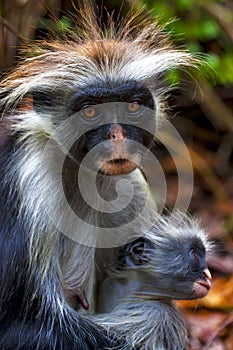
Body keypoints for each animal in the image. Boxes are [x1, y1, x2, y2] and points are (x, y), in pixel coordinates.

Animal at [0, 3, 193, 350]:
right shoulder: (31, 181)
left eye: (133, 105)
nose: (117, 137)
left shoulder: (130, 188)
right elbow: (30, 324)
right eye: (90, 111)